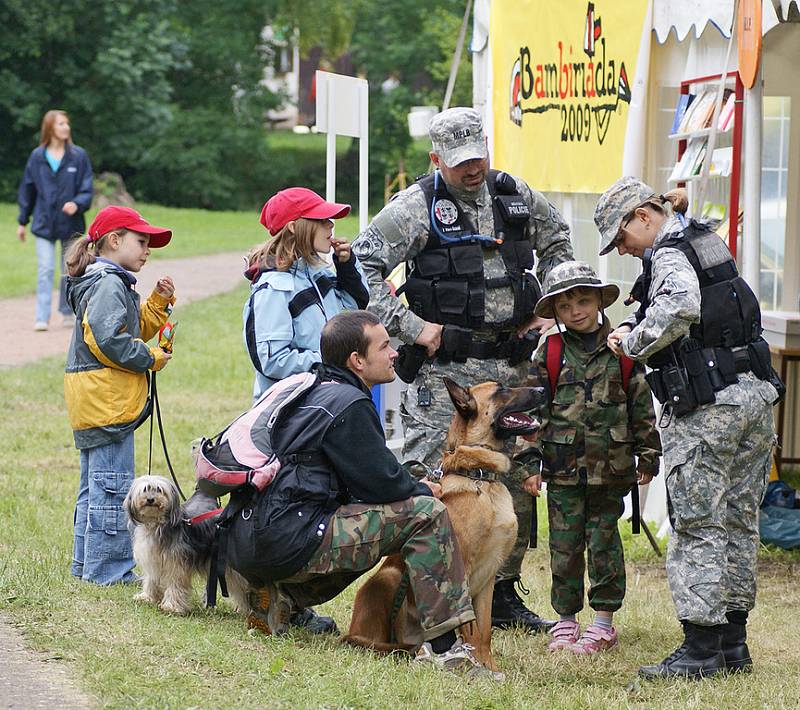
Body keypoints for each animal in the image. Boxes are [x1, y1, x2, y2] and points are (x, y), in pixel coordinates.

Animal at [123, 478, 250, 616]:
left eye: (159, 490)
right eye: (145, 489)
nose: (150, 499)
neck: (157, 525)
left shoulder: (176, 564)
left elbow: (175, 584)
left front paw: (172, 606)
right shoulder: (152, 560)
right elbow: (151, 580)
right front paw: (148, 597)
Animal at [344, 382, 544, 676]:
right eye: (502, 390)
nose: (542, 389)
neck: (480, 477)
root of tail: (352, 632)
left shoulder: (488, 579)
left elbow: (484, 631)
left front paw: (488, 666)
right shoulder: (464, 574)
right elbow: (470, 629)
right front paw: (473, 665)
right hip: (389, 577)